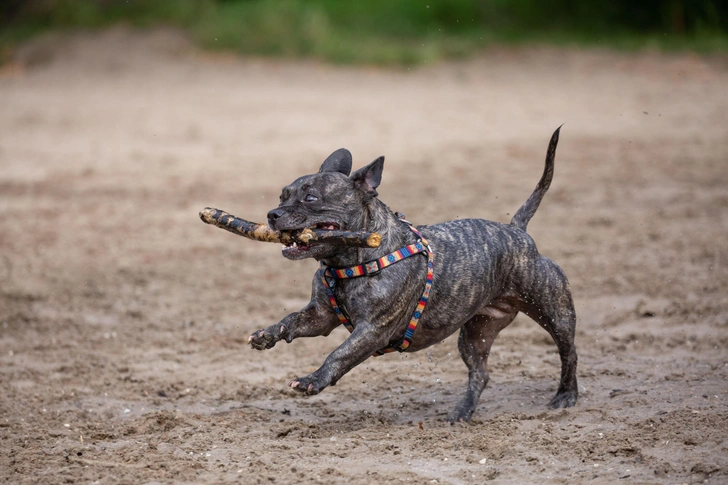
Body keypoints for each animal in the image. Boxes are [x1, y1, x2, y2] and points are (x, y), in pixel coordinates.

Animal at [247, 127, 576, 420]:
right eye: (282, 196)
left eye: (311, 198)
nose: (272, 215)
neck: (348, 262)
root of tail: (518, 232)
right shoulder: (321, 316)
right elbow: (292, 320)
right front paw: (267, 334)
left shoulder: (372, 329)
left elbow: (339, 354)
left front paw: (312, 380)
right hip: (475, 334)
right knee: (480, 373)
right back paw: (461, 413)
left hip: (555, 313)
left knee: (568, 352)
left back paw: (566, 397)